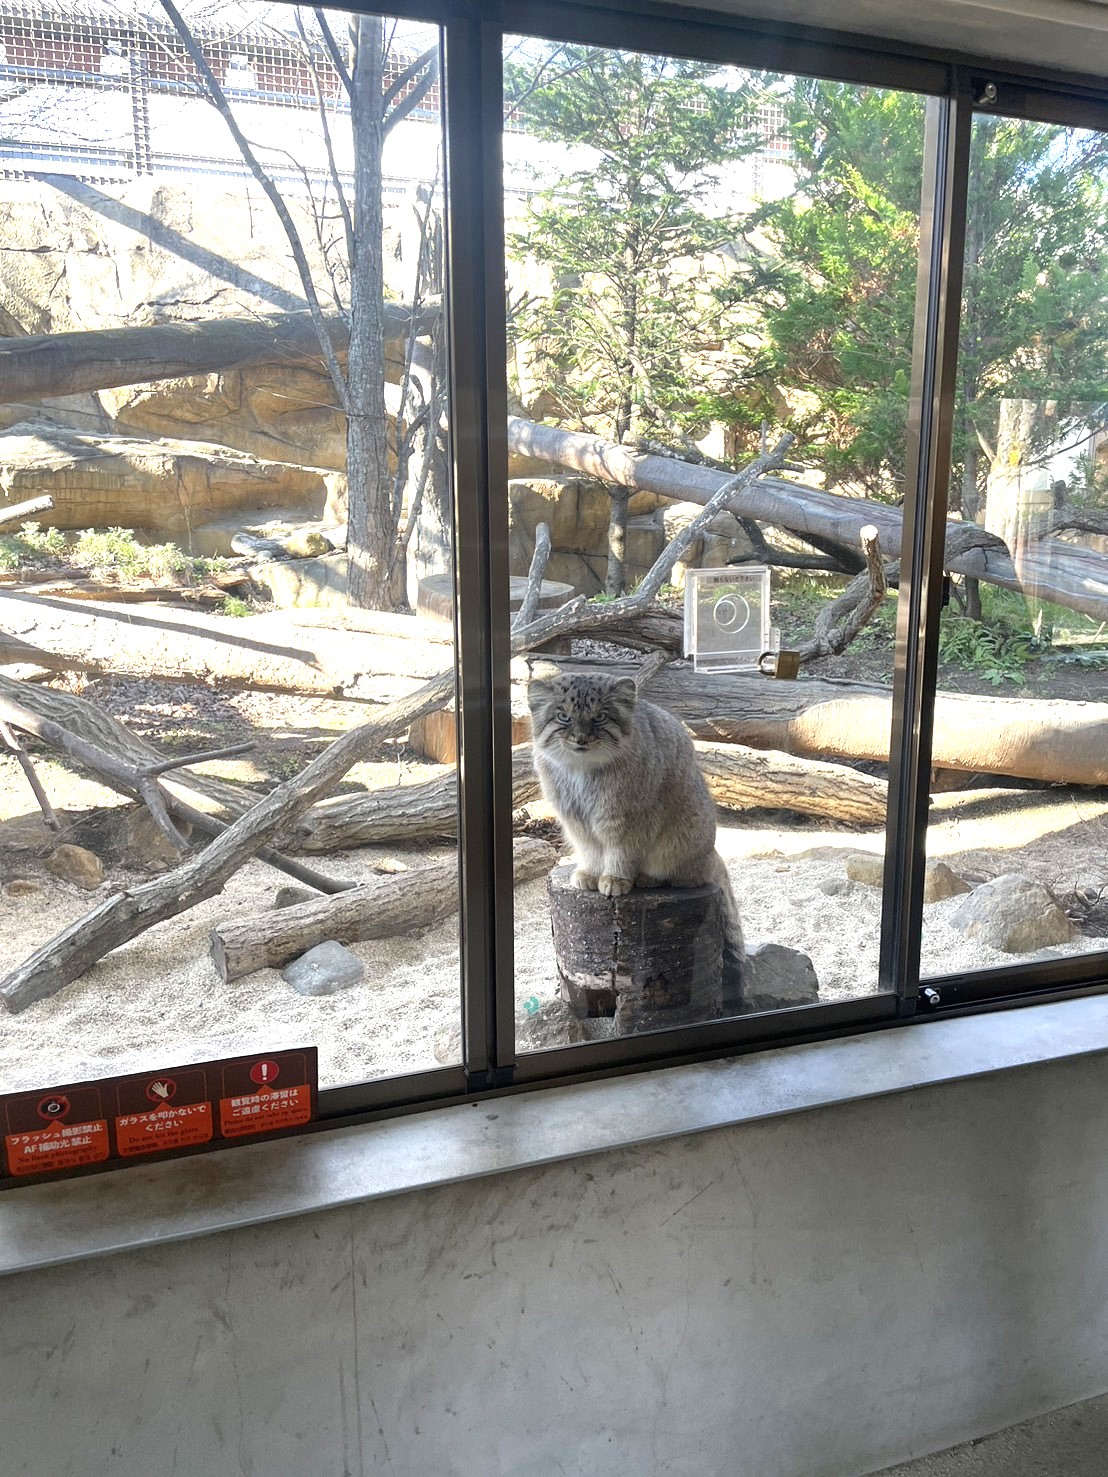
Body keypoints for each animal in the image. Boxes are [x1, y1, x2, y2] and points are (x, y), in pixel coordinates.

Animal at [528, 667, 747, 968]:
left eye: (600, 717)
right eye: (564, 716)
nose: (581, 738)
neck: (582, 772)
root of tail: (712, 854)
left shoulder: (629, 820)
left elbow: (620, 852)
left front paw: (615, 879)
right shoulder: (577, 823)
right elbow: (591, 851)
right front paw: (590, 874)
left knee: (687, 877)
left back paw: (648, 878)